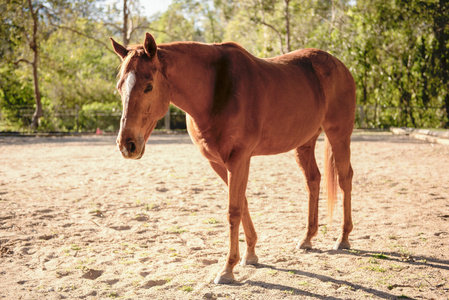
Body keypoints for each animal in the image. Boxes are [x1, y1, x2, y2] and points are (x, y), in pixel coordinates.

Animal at [110, 32, 356, 284]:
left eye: (148, 87)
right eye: (120, 87)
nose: (127, 145)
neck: (216, 89)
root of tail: (339, 65)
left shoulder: (239, 160)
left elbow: (233, 211)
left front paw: (228, 268)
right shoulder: (218, 163)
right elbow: (242, 202)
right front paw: (250, 253)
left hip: (339, 135)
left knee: (345, 179)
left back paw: (343, 238)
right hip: (304, 143)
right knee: (313, 180)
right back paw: (307, 238)